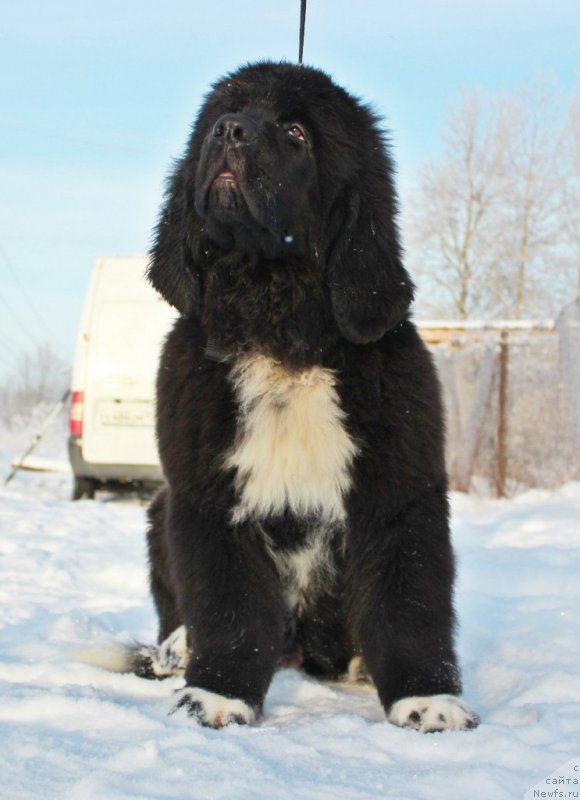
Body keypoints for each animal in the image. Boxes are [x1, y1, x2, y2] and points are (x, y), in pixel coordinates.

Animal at [143, 62, 478, 736]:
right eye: (223, 111)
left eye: (296, 132)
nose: (229, 129)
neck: (281, 331)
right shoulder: (207, 499)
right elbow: (229, 609)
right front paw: (217, 695)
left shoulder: (401, 496)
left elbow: (410, 605)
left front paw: (430, 699)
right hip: (159, 507)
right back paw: (178, 648)